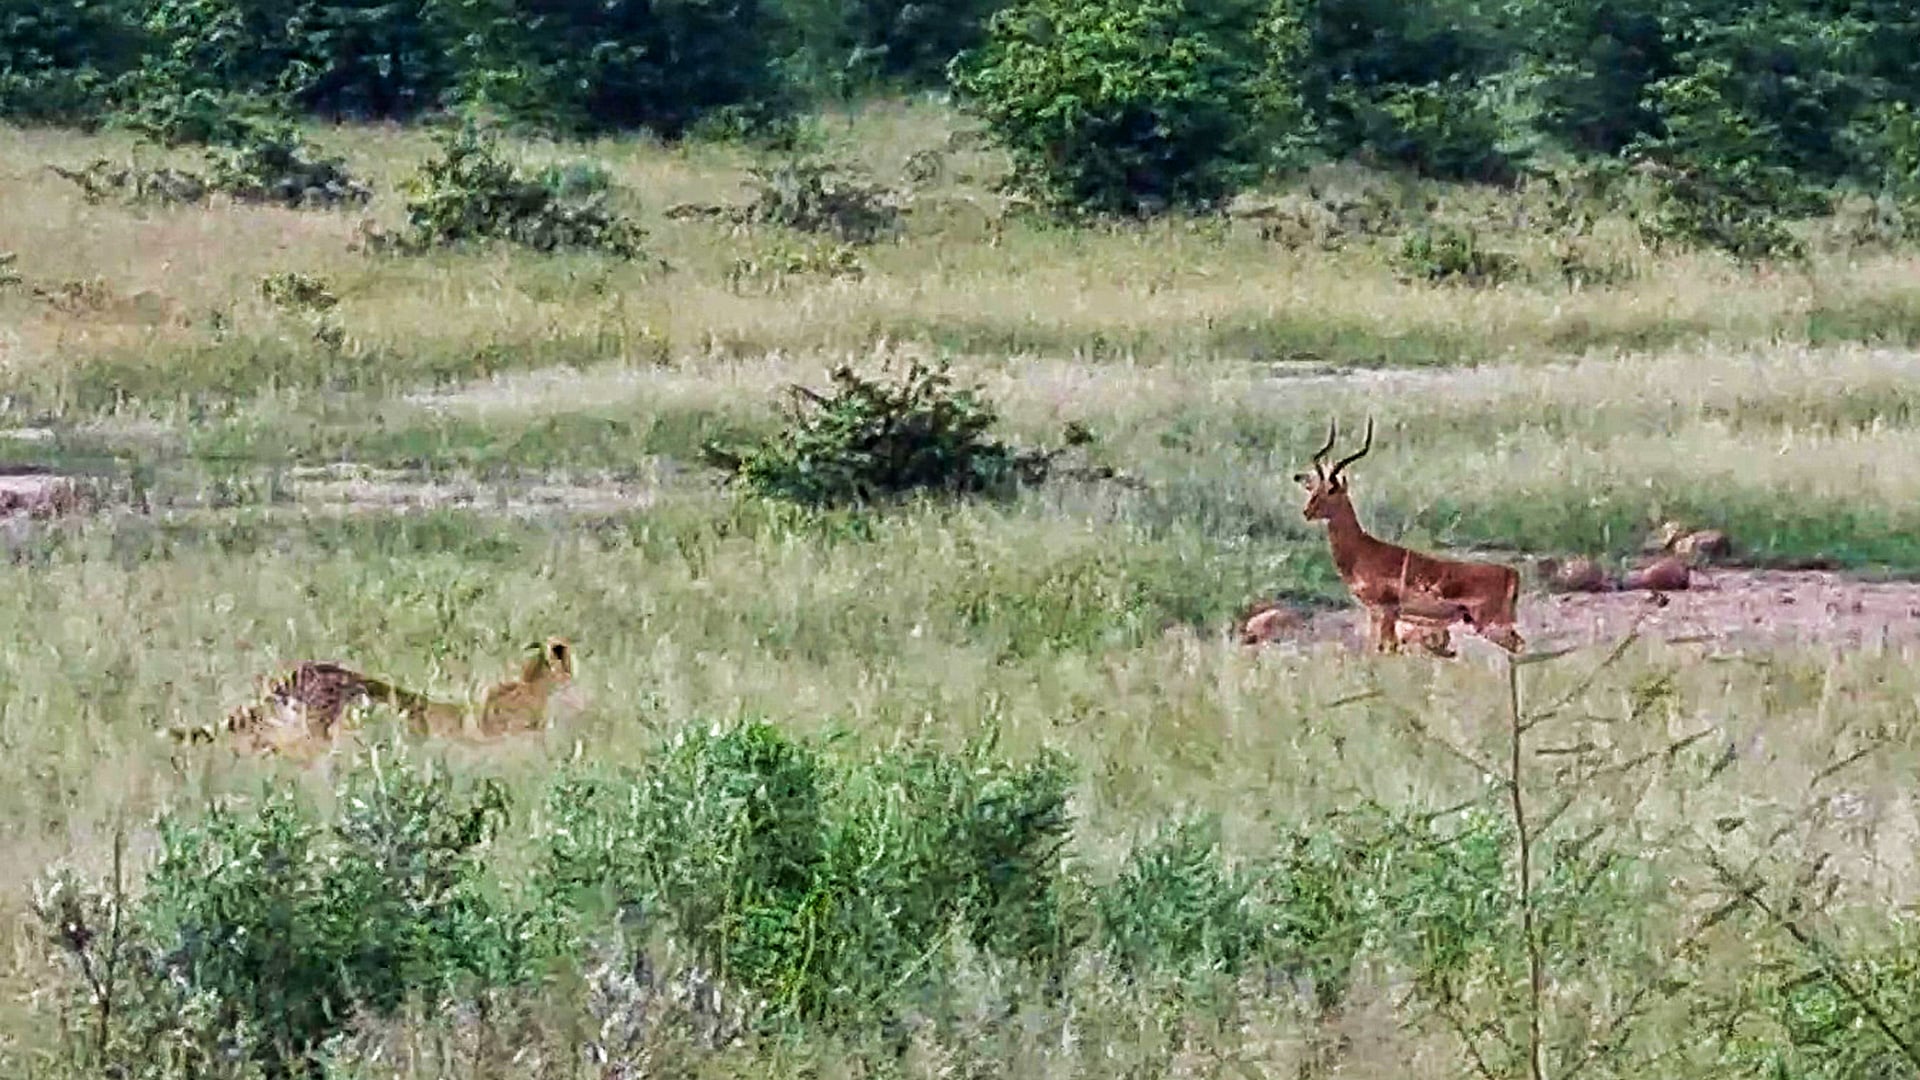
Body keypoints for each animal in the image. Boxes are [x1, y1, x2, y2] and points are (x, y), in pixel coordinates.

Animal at [1295, 419, 1525, 655]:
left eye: (1332, 490)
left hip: (1491, 624)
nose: (1307, 511)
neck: (1362, 550)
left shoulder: (1388, 610)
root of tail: (1511, 573)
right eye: (1315, 488)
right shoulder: (1375, 613)